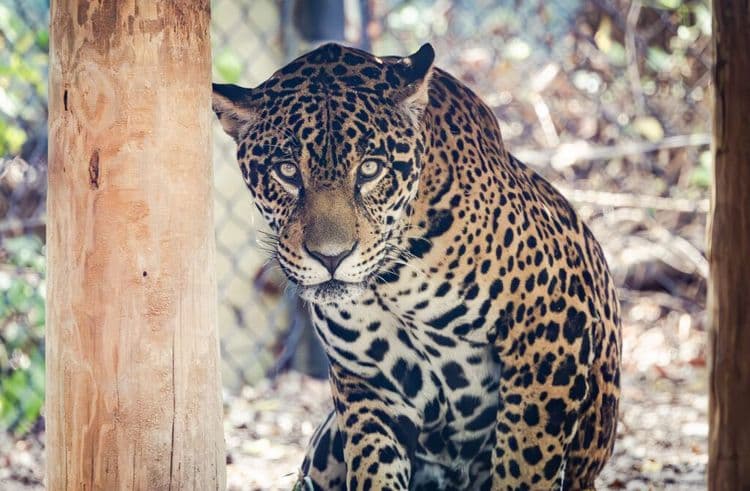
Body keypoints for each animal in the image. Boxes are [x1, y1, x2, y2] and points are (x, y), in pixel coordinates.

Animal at [212, 42, 621, 491]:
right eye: (286, 171)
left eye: (370, 169)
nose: (331, 257)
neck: (393, 281)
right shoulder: (367, 383)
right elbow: (374, 466)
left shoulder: (552, 334)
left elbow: (525, 464)